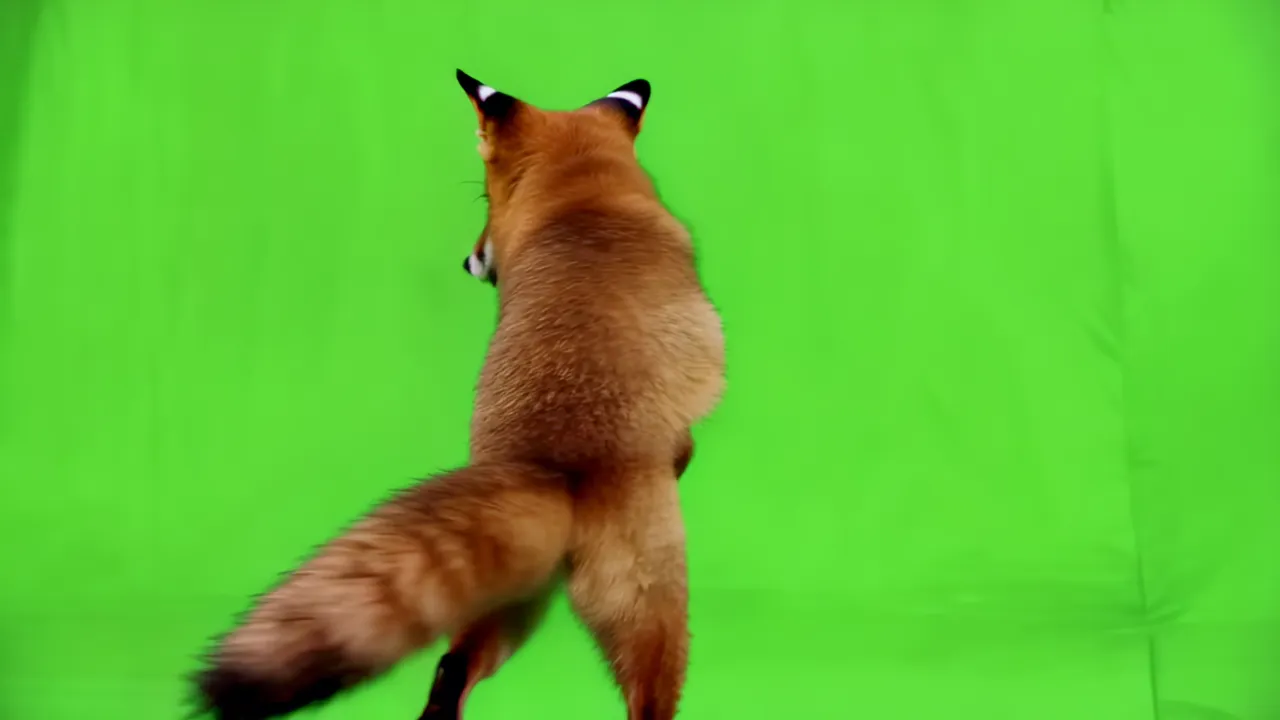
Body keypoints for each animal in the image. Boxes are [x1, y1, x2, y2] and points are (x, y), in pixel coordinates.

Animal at [191, 69, 725, 720]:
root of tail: (549, 463)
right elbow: (687, 434)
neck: (584, 200)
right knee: (646, 699)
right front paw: (685, 456)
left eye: (489, 202)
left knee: (450, 671)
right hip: (646, 608)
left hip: (511, 601)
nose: (468, 261)